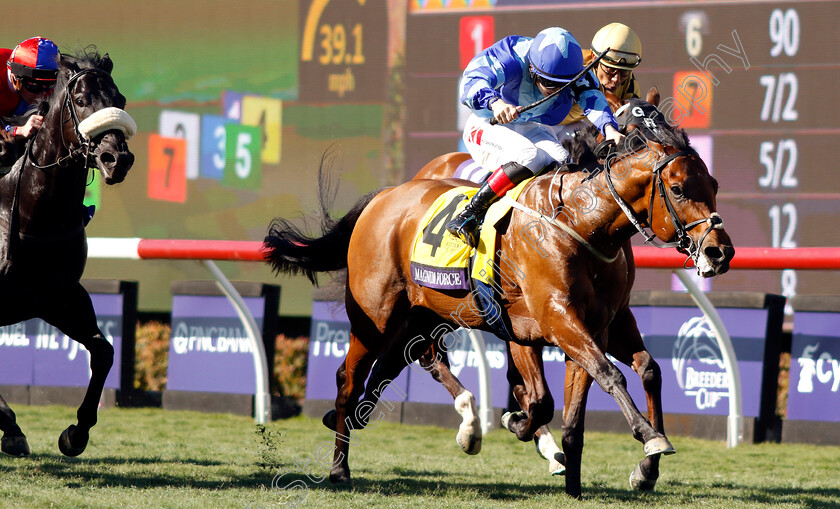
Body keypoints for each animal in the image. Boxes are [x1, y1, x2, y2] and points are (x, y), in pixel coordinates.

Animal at [0, 50, 136, 456]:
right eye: (80, 100)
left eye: (120, 100)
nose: (115, 158)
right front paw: (10, 426)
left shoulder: (58, 297)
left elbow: (104, 351)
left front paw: (76, 433)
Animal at [264, 98, 736, 496]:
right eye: (678, 188)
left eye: (714, 183)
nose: (720, 252)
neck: (580, 223)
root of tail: (385, 195)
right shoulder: (556, 318)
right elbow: (602, 377)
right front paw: (649, 438)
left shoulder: (593, 324)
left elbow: (603, 391)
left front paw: (599, 475)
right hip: (375, 314)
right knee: (349, 376)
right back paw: (340, 466)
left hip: (423, 314)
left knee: (402, 363)